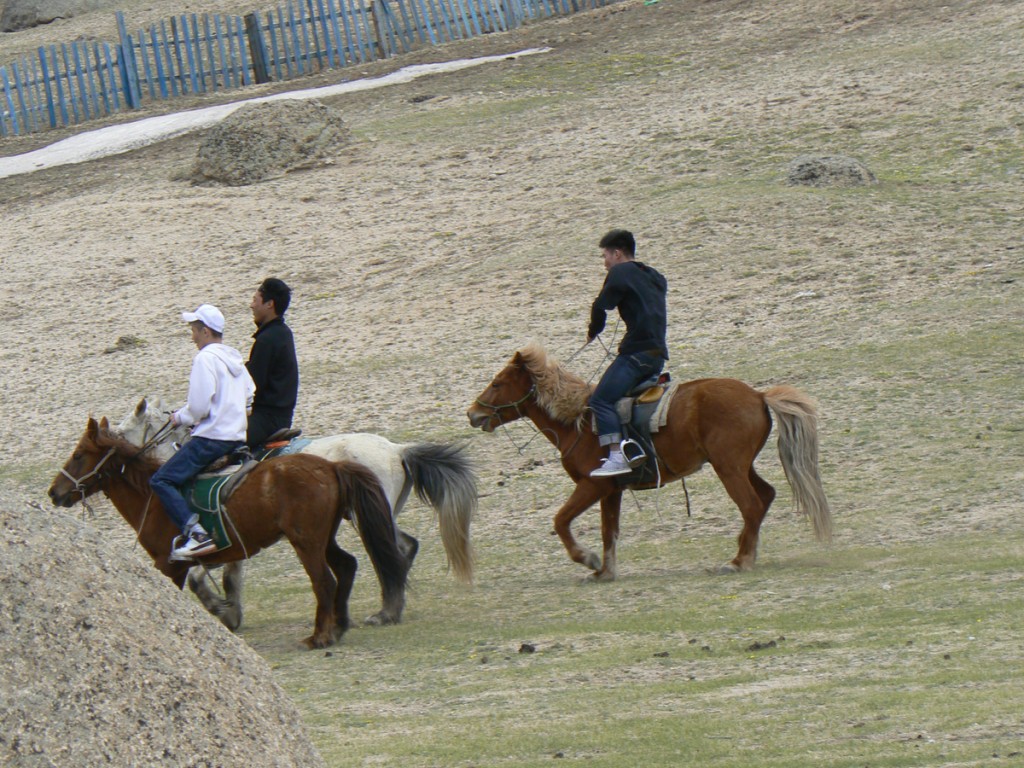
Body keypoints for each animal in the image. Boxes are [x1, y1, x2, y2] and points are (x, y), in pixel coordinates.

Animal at [116, 397, 475, 630]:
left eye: (119, 433)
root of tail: (397, 449)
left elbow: (202, 575)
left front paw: (224, 611)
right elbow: (228, 576)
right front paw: (231, 612)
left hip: (367, 519)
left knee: (392, 552)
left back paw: (386, 611)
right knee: (404, 548)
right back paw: (391, 608)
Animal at [466, 346, 831, 581]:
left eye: (497, 383)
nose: (473, 413)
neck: (579, 422)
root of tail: (757, 395)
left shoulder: (592, 485)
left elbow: (561, 520)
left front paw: (587, 559)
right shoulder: (611, 491)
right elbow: (609, 531)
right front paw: (605, 571)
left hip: (728, 468)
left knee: (752, 505)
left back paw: (740, 561)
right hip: (740, 466)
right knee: (765, 496)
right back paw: (745, 553)